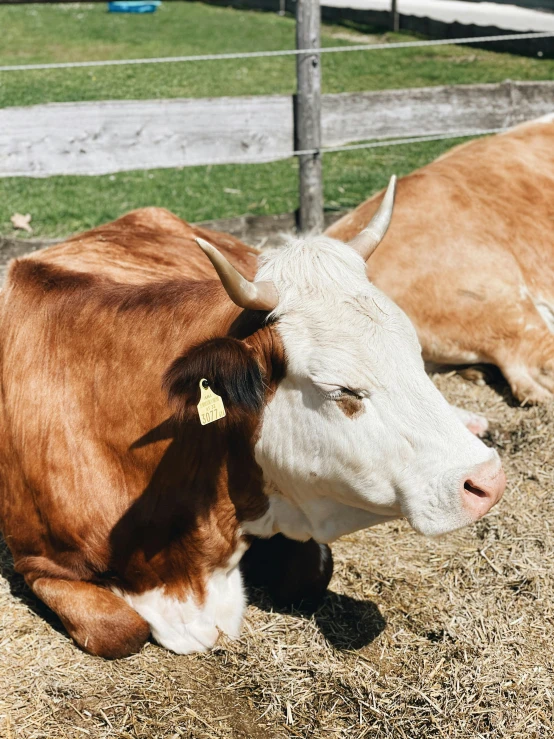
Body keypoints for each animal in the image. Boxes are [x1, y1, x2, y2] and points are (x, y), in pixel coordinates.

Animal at [0, 184, 500, 660]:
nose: (488, 480)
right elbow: (118, 629)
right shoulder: (35, 562)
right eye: (341, 389)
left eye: (415, 354)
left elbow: (312, 573)